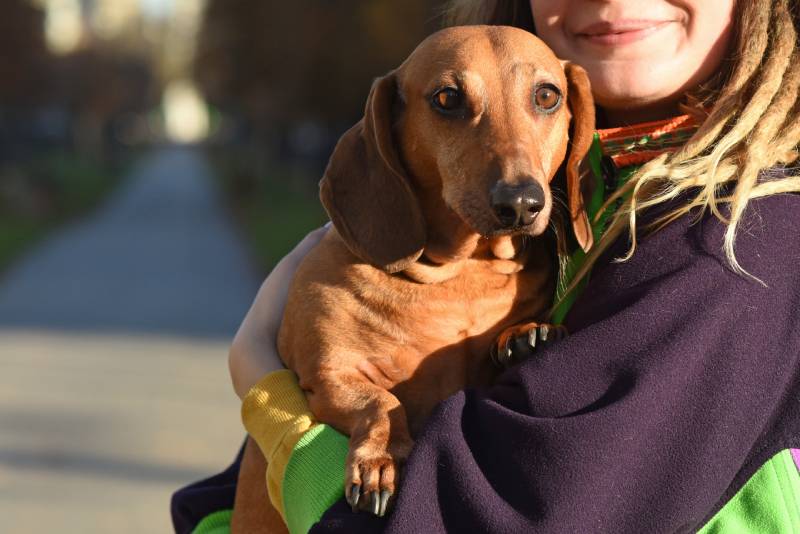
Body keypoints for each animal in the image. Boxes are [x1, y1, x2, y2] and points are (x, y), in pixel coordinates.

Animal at [231, 25, 592, 532]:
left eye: (547, 95)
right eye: (447, 98)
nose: (521, 202)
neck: (460, 277)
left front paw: (526, 334)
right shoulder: (329, 374)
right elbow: (381, 402)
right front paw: (379, 462)